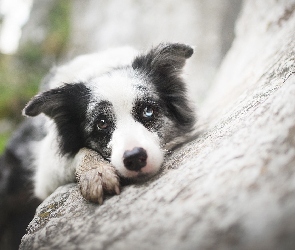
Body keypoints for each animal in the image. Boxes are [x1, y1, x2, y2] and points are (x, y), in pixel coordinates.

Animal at [1, 42, 198, 245]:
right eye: (101, 123)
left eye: (148, 111)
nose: (135, 158)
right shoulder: (45, 173)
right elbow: (81, 151)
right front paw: (96, 172)